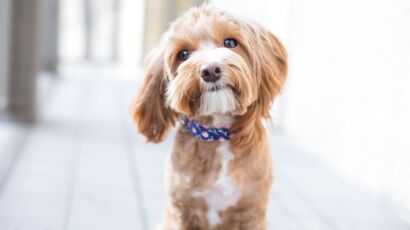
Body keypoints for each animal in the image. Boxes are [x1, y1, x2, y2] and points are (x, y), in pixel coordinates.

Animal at [133, 5, 286, 230]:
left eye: (230, 43)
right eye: (183, 54)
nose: (210, 69)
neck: (217, 133)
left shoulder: (251, 210)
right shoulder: (182, 210)